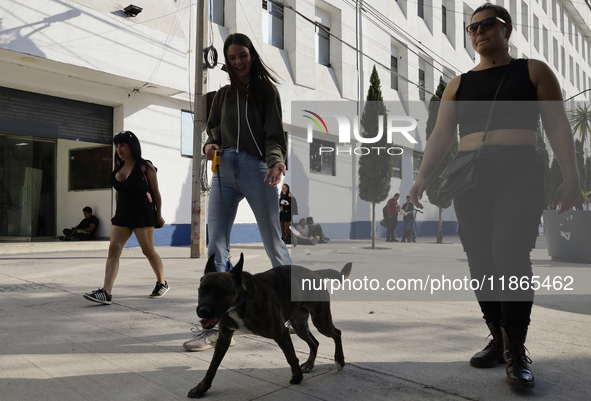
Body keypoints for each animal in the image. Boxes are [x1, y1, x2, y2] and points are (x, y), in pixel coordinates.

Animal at [188, 253, 352, 396]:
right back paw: (309, 364)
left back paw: (339, 360)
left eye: (222, 292)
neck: (242, 300)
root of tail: (314, 273)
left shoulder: (281, 333)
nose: (202, 311)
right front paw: (201, 388)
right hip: (299, 325)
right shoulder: (224, 337)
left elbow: (291, 357)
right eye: (202, 290)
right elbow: (213, 366)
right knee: (315, 342)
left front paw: (297, 377)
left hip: (321, 321)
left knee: (336, 333)